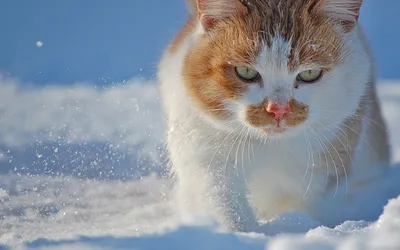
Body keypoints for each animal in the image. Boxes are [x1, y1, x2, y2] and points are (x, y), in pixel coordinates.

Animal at [158, 0, 390, 232]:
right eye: (245, 72)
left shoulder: (328, 159)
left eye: (309, 74)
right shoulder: (207, 153)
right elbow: (221, 200)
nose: (278, 109)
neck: (271, 146)